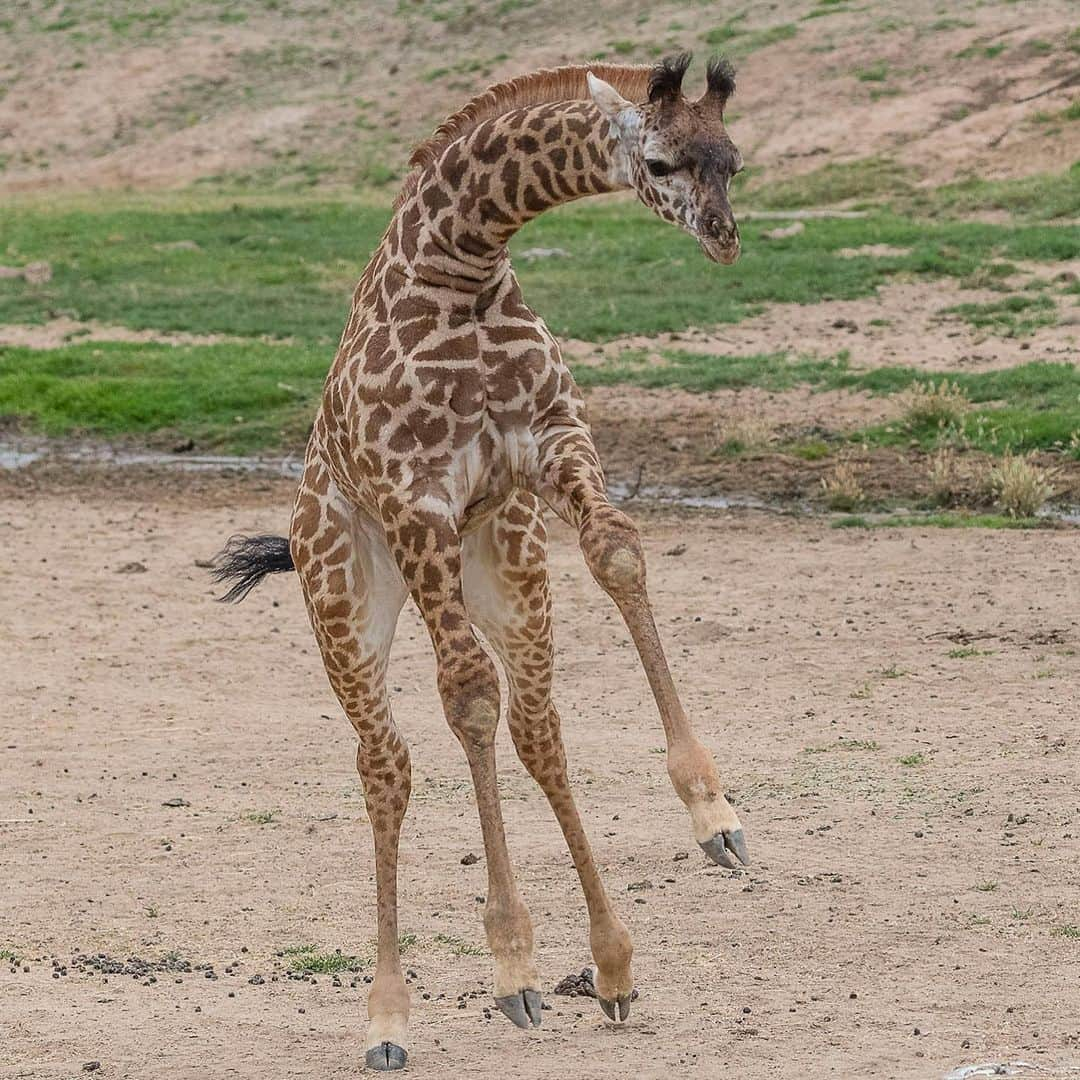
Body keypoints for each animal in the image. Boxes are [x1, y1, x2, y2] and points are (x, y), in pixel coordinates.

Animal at [214, 50, 747, 1071]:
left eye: (733, 160)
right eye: (660, 162)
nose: (725, 238)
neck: (463, 263)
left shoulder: (549, 443)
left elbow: (619, 555)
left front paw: (715, 813)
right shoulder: (415, 497)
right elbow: (465, 698)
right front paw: (510, 963)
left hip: (505, 567)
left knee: (537, 729)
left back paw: (611, 965)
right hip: (348, 603)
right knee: (388, 762)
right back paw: (392, 1019)